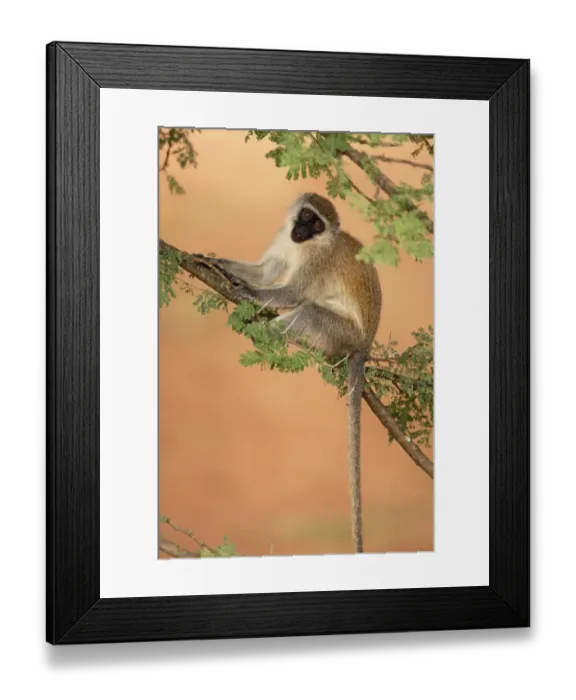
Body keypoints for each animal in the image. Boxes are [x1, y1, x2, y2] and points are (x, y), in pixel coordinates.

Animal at [204, 193, 382, 553]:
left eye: (317, 225)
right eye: (306, 216)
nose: (301, 231)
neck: (308, 245)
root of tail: (365, 343)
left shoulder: (317, 260)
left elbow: (291, 293)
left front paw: (244, 291)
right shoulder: (283, 240)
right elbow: (264, 271)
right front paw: (210, 261)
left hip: (340, 332)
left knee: (309, 311)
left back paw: (265, 331)